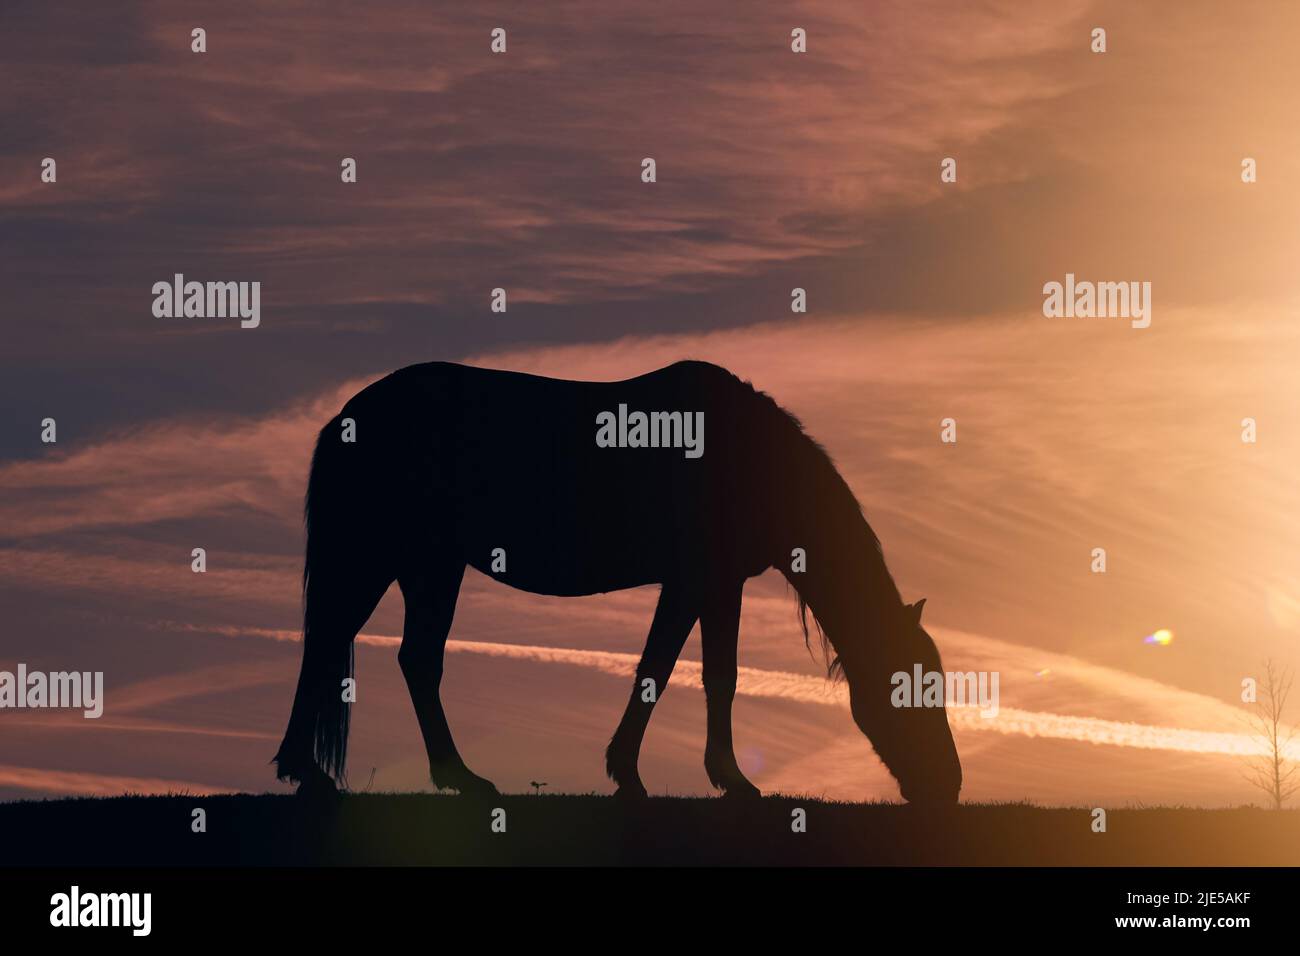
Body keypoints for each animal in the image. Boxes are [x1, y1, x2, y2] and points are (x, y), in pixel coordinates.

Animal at [274, 361, 961, 806]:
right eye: (910, 687)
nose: (949, 788)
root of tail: (347, 415)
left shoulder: (708, 585)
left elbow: (694, 671)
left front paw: (683, 774)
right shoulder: (698, 581)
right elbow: (682, 670)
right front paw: (680, 777)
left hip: (421, 564)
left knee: (391, 654)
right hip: (395, 558)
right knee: (351, 647)